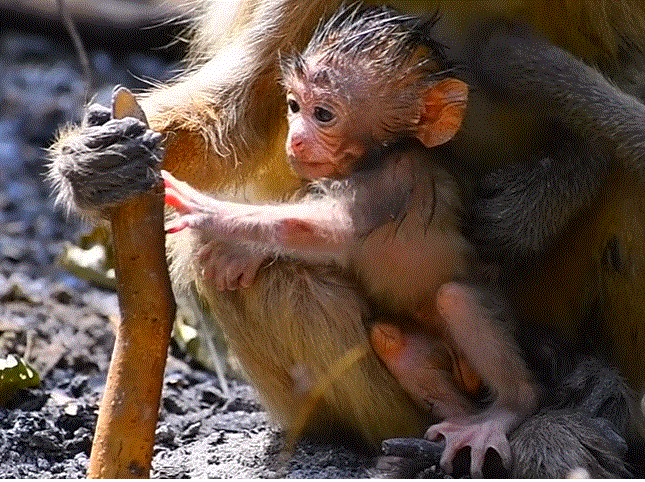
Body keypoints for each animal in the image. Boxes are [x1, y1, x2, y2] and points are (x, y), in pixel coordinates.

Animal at [47, 0, 645, 477]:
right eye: (296, 107)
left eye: (326, 114)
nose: (301, 139)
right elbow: (236, 112)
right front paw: (96, 165)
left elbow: (626, 80)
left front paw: (543, 196)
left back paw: (574, 403)